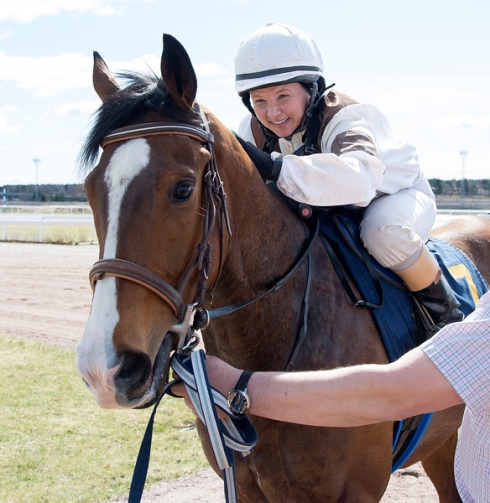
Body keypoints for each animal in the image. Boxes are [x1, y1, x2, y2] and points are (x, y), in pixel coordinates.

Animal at [76, 33, 490, 502]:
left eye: (182, 189)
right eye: (89, 189)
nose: (105, 368)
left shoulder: (355, 491)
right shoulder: (245, 486)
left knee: (390, 234)